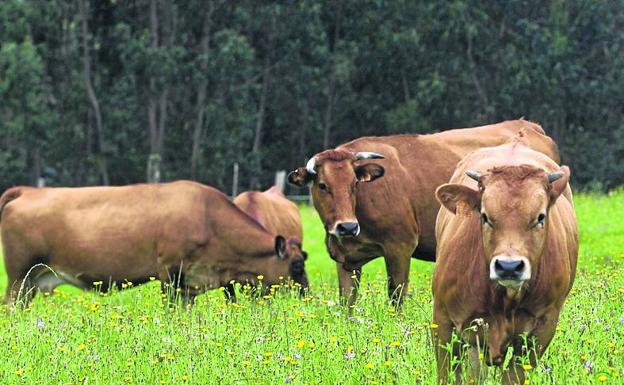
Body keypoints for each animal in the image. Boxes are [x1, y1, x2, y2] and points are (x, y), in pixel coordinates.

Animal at [0, 180, 310, 306]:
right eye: (296, 265)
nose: (307, 294)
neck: (208, 218)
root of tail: (28, 192)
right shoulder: (169, 273)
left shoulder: (189, 284)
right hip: (19, 277)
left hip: (32, 281)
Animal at [288, 118, 560, 308]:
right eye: (322, 185)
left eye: (354, 183)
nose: (347, 227)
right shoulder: (345, 260)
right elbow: (347, 303)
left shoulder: (400, 247)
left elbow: (396, 299)